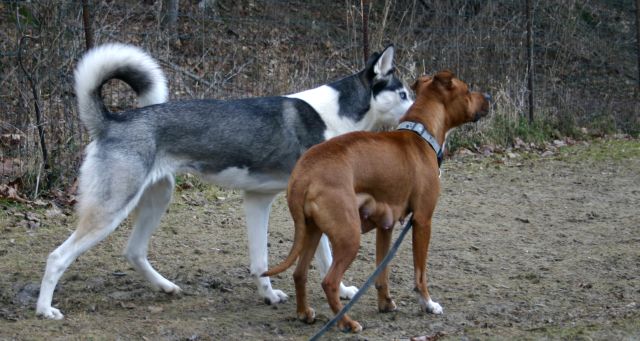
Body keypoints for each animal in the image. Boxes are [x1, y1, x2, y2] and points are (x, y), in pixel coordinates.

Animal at [36, 43, 416, 318]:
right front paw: (343, 291)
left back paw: (165, 287)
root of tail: (111, 121)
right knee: (57, 257)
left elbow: (261, 262)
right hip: (111, 210)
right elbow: (323, 254)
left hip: (158, 199)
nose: (418, 111)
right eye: (403, 95)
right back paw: (45, 309)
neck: (336, 115)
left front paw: (270, 295)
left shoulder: (257, 200)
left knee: (134, 251)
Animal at [264, 70, 490, 330]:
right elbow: (420, 273)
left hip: (312, 232)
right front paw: (428, 304)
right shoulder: (423, 221)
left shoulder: (386, 226)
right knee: (329, 282)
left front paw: (385, 304)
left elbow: (383, 272)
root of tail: (305, 173)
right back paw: (346, 323)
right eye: (468, 90)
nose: (489, 97)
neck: (420, 133)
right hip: (348, 238)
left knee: (299, 274)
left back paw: (304, 313)